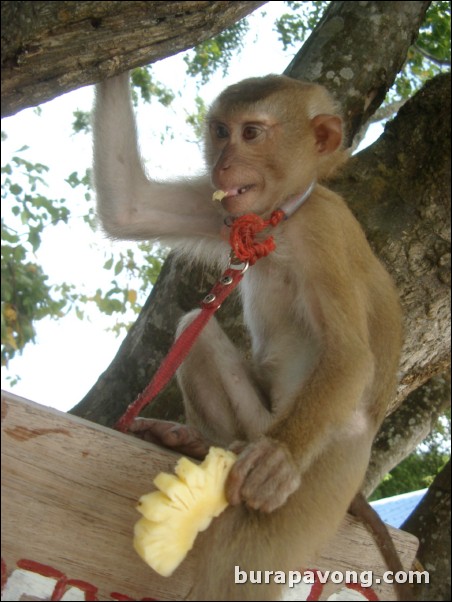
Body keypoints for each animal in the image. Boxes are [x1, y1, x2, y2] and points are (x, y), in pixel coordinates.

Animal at [92, 72, 402, 596]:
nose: (223, 164)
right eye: (220, 131)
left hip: (325, 476)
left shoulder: (322, 230)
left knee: (247, 545)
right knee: (190, 328)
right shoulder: (228, 211)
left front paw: (277, 458)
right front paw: (114, 61)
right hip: (255, 422)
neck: (281, 219)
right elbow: (128, 207)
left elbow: (349, 355)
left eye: (251, 133)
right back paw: (198, 442)